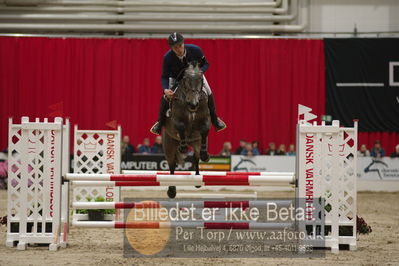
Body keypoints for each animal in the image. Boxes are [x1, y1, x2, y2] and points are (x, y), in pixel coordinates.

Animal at [162, 61, 212, 197]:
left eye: (200, 79)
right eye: (185, 79)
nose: (193, 104)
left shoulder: (205, 120)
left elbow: (204, 130)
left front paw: (205, 155)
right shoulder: (176, 120)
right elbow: (181, 127)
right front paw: (183, 148)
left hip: (196, 143)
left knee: (196, 158)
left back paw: (198, 179)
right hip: (169, 145)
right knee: (171, 165)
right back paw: (171, 190)